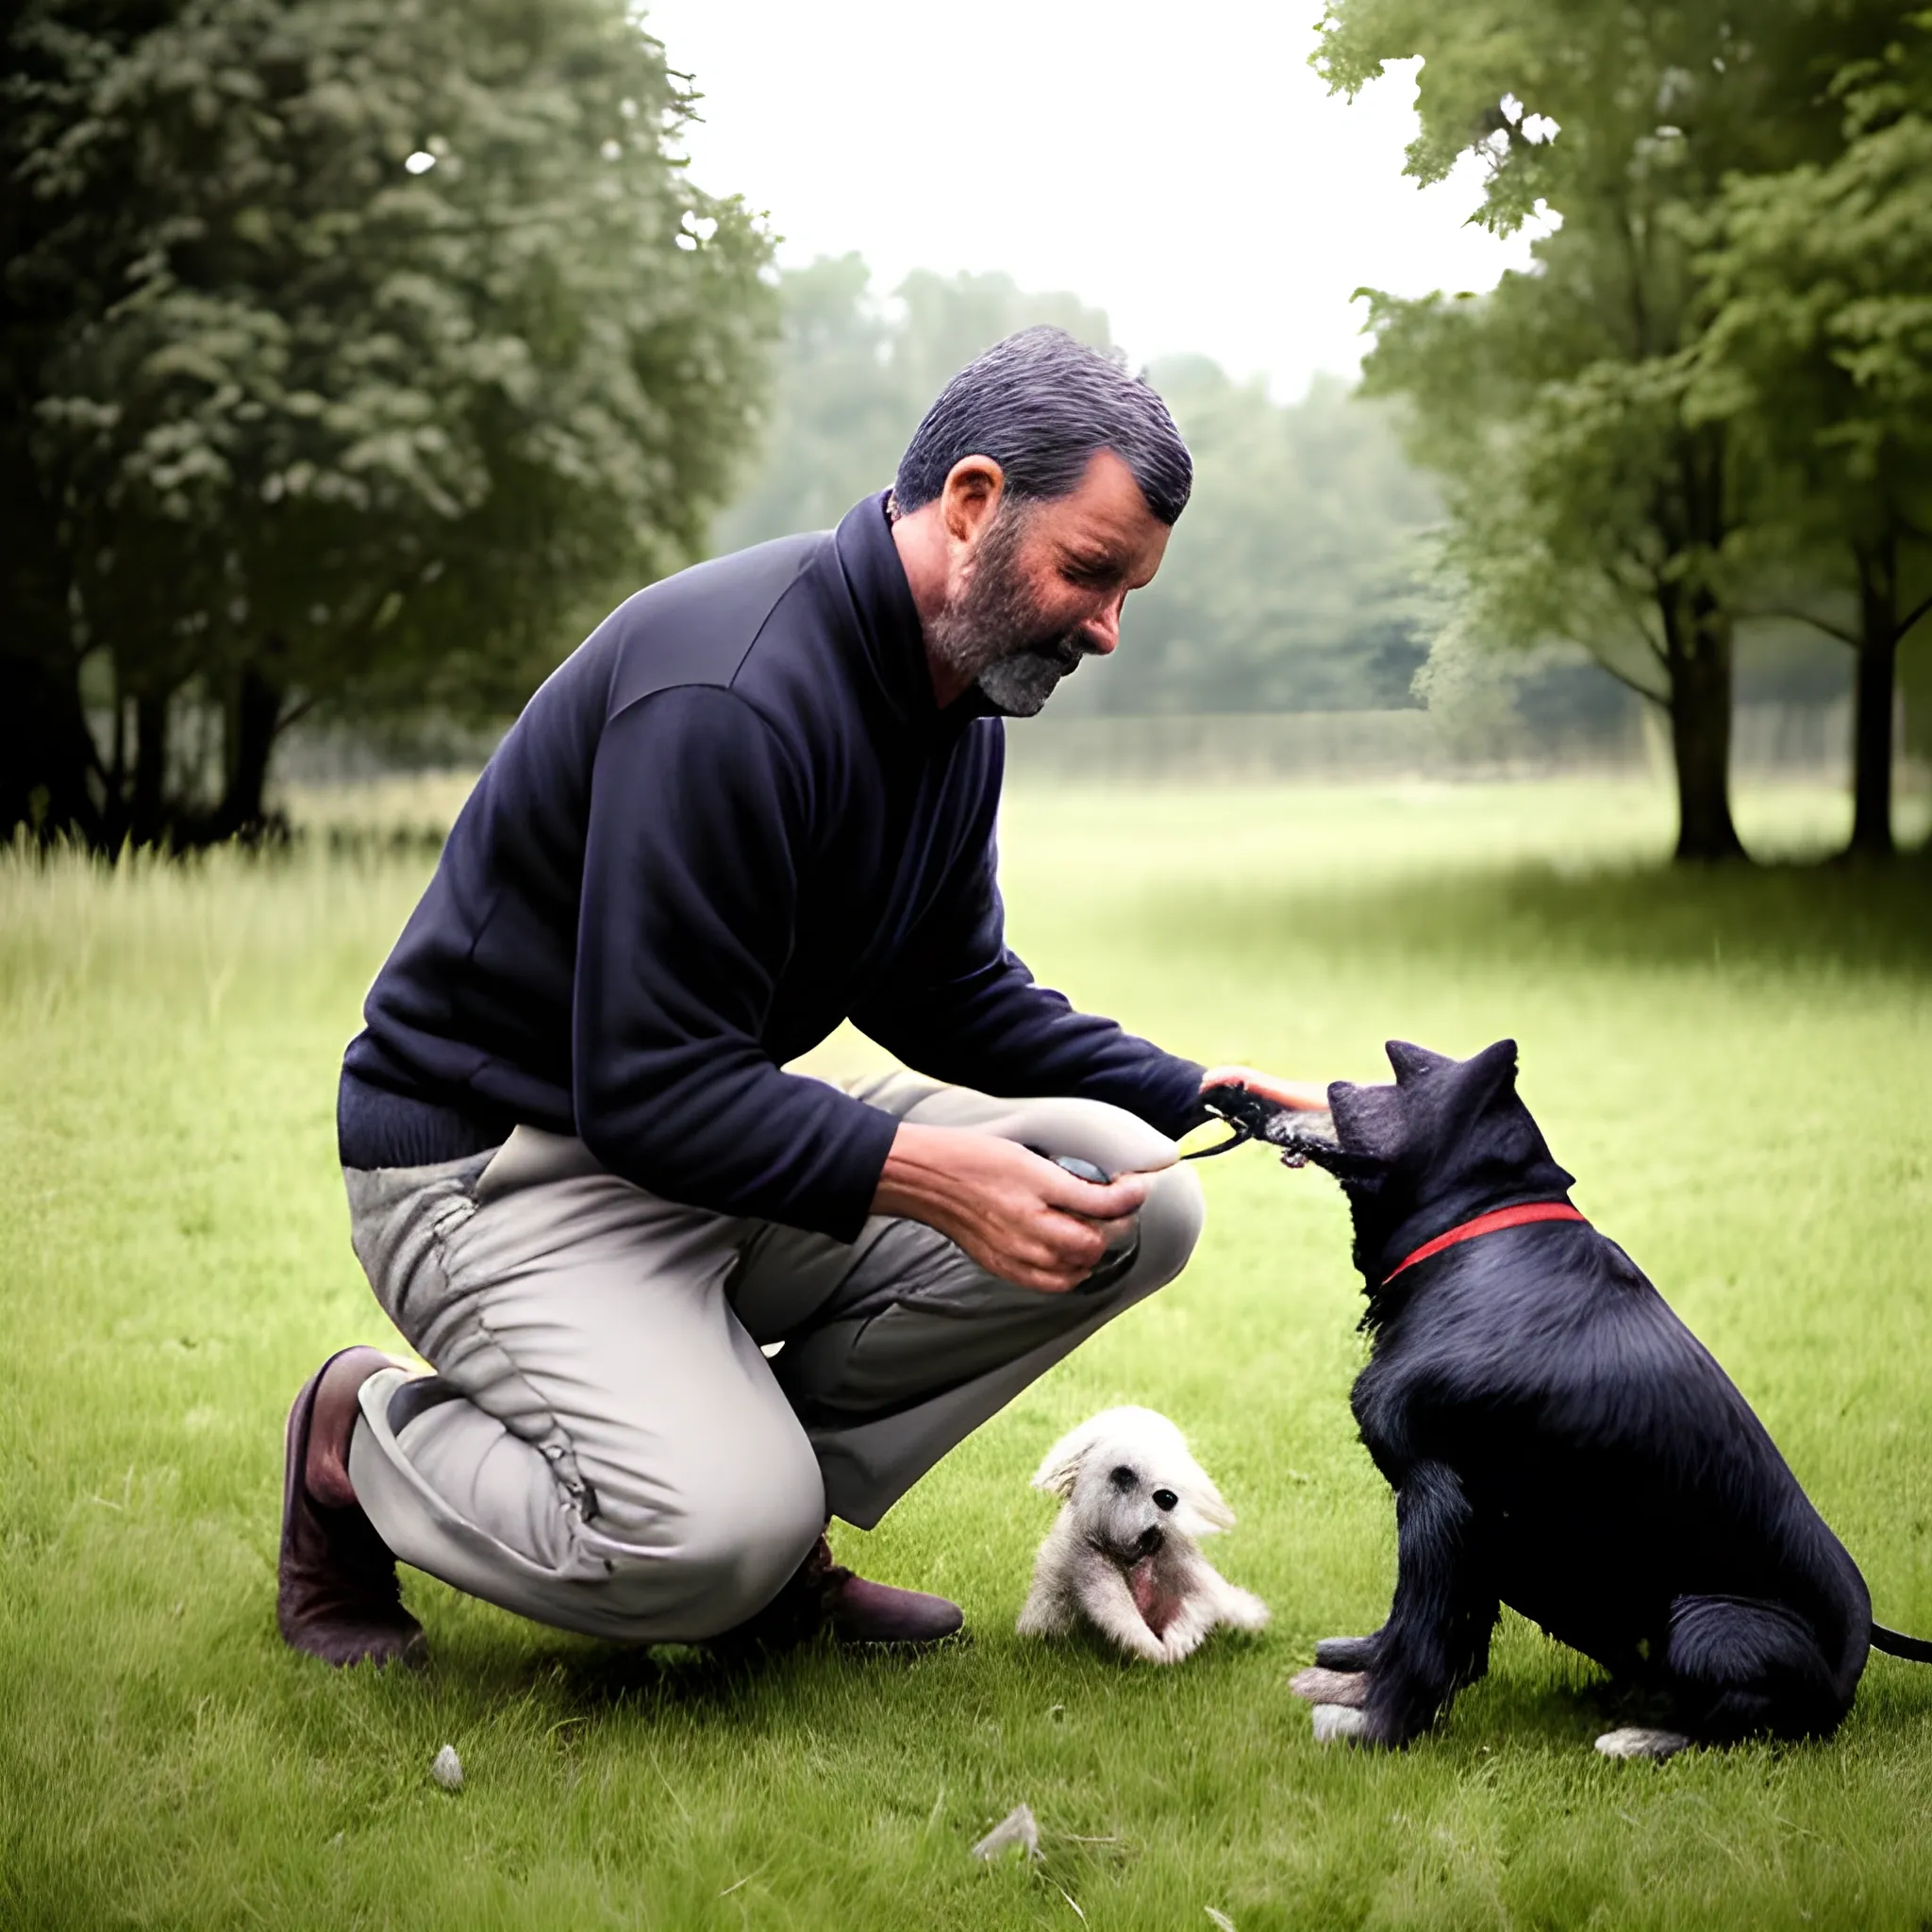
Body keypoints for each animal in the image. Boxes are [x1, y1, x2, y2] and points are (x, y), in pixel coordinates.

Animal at [1012, 1406, 1267, 1661]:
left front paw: (1179, 1639)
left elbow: (1203, 1601)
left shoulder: (1178, 1554)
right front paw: (1161, 1650)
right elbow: (1116, 1610)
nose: (1168, 1498)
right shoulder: (1089, 1561)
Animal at [1228, 1051, 1924, 1761]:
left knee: (1741, 1724)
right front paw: (1357, 1676)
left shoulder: (1438, 1498)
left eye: (1395, 1074)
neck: (1475, 1230)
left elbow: (1423, 1636)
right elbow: (1434, 1632)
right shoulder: (1464, 1526)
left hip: (1705, 1622)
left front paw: (1380, 1726)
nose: (1243, 1092)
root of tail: (1853, 1669)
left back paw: (1645, 1735)